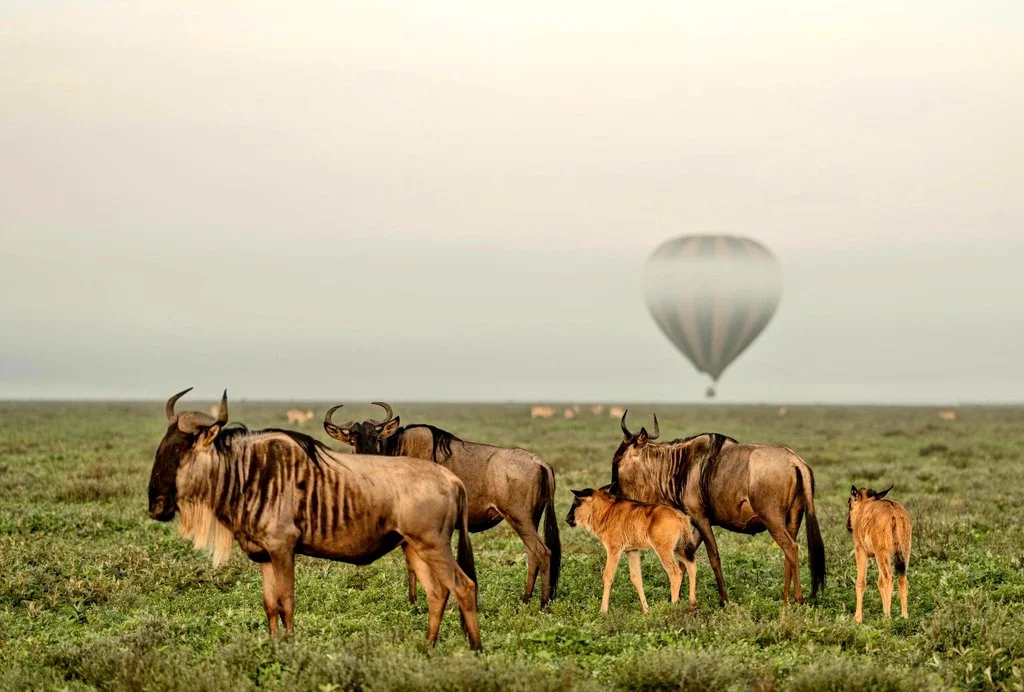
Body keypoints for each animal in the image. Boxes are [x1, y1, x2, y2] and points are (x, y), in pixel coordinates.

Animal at [148, 389, 481, 650]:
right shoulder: (265, 556)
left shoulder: (283, 549)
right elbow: (270, 605)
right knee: (438, 593)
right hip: (415, 548)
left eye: (181, 449)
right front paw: (275, 647)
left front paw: (292, 649)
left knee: (463, 587)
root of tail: (453, 480)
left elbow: (287, 602)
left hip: (435, 546)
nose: (156, 507)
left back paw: (475, 650)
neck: (250, 474)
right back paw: (428, 647)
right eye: (160, 448)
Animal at [324, 402, 561, 607]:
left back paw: (543, 603)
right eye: (352, 440)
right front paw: (414, 601)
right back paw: (526, 598)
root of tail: (538, 461)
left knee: (542, 552)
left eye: (376, 438)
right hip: (529, 520)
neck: (399, 450)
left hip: (519, 519)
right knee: (533, 554)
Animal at [608, 411, 825, 606]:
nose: (611, 491)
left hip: (772, 519)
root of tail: (795, 461)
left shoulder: (700, 518)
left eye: (617, 460)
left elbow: (713, 557)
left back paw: (798, 600)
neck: (680, 464)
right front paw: (675, 600)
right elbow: (685, 560)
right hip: (793, 518)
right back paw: (786, 600)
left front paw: (724, 600)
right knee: (789, 553)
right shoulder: (698, 522)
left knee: (791, 548)